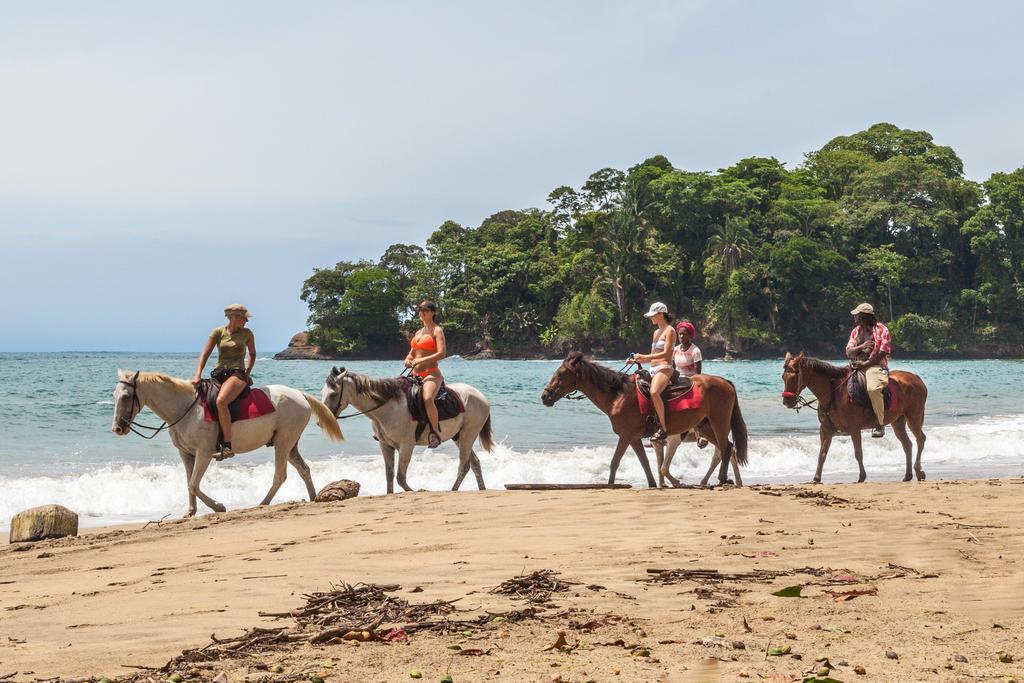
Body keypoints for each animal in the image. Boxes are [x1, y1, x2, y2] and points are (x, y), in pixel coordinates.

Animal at [111, 370, 344, 516]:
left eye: (126, 397)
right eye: (114, 395)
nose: (117, 428)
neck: (185, 409)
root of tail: (300, 395)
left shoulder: (204, 453)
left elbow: (194, 483)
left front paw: (218, 506)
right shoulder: (186, 454)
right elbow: (189, 483)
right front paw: (191, 511)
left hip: (283, 443)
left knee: (280, 475)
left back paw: (262, 504)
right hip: (289, 445)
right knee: (304, 470)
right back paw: (313, 498)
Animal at [321, 366, 493, 493]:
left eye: (333, 394)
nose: (323, 420)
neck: (387, 407)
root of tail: (481, 396)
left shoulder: (406, 446)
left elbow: (400, 478)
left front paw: (416, 491)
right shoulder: (385, 445)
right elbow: (389, 476)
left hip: (467, 435)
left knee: (464, 465)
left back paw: (453, 490)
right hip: (458, 437)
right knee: (475, 463)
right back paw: (481, 489)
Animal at [540, 352, 749, 485]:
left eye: (561, 374)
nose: (545, 396)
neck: (618, 396)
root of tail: (725, 382)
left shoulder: (626, 436)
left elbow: (615, 462)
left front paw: (610, 485)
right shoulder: (633, 438)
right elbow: (646, 464)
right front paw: (653, 484)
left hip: (719, 422)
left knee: (725, 449)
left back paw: (722, 479)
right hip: (706, 427)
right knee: (728, 449)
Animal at [782, 356, 929, 483]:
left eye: (795, 377)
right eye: (783, 377)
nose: (786, 401)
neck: (834, 392)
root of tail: (917, 379)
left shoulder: (854, 429)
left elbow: (858, 453)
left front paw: (862, 476)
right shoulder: (825, 429)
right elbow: (822, 454)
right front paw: (817, 478)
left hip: (913, 417)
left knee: (920, 439)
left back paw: (919, 471)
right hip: (898, 422)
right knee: (907, 445)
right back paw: (908, 475)